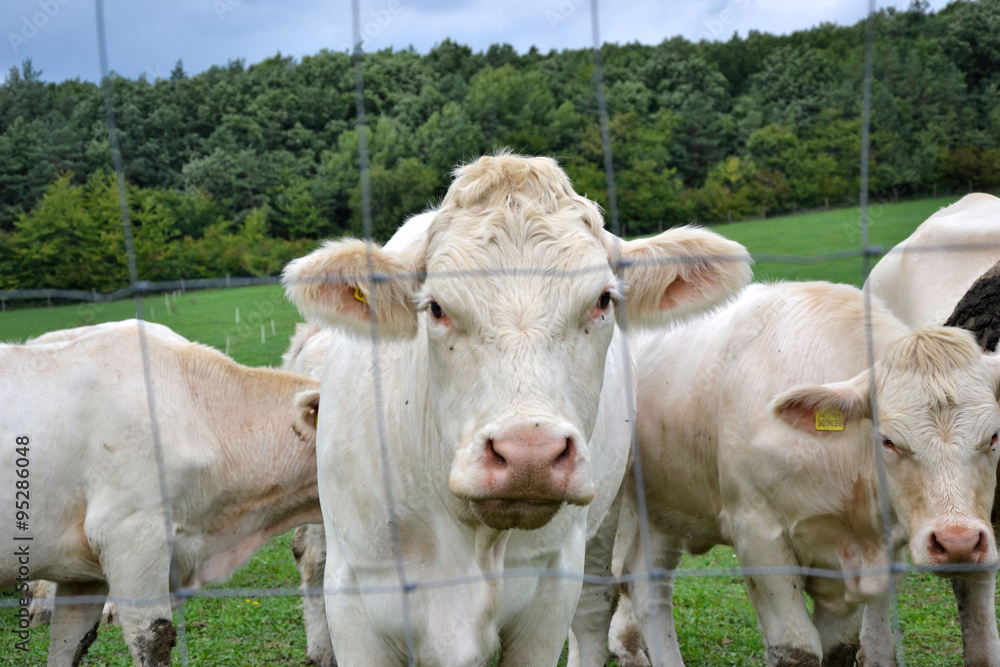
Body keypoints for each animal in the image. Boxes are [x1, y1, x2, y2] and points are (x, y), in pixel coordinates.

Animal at [282, 154, 752, 664]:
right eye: (436, 308)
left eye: (603, 300)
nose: (530, 456)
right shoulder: (354, 595)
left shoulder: (549, 592)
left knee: (594, 607)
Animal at [608, 282, 1000, 667]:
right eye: (889, 441)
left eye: (994, 436)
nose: (958, 542)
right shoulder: (757, 534)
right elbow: (795, 650)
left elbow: (839, 646)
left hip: (664, 510)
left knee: (649, 587)